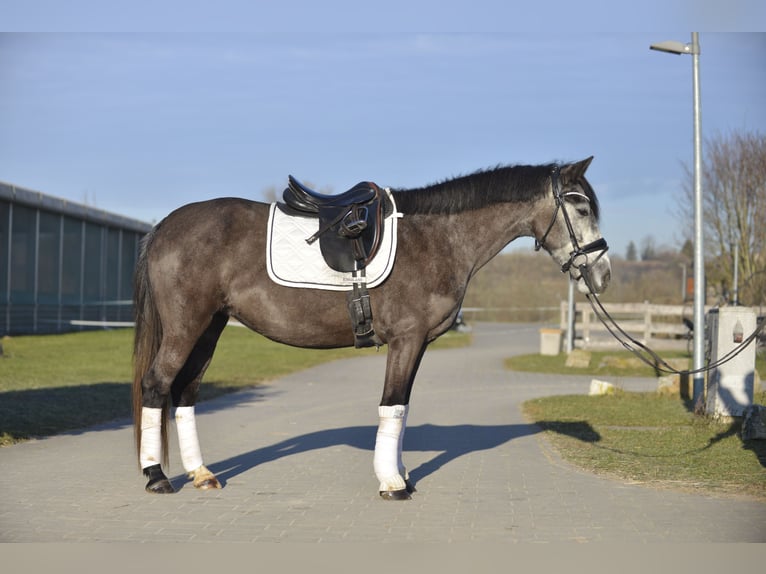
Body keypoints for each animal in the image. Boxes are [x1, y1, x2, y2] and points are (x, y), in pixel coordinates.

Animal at [132, 156, 612, 500]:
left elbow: (402, 408)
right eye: (582, 206)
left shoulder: (416, 344)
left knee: (186, 390)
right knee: (157, 384)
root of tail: (165, 227)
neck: (436, 239)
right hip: (187, 325)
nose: (603, 274)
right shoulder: (406, 339)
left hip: (210, 326)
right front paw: (393, 484)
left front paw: (400, 474)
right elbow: (392, 405)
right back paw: (156, 477)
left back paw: (201, 474)